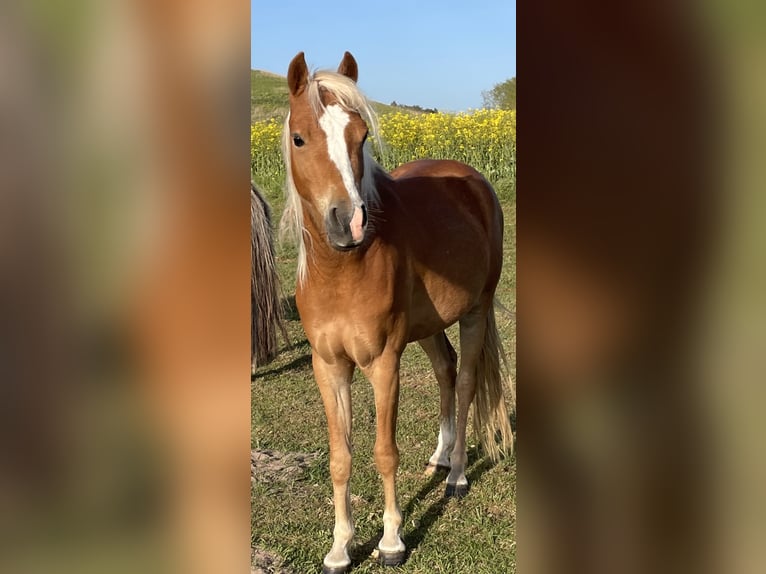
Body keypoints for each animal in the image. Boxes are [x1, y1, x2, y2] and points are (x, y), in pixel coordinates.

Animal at [282, 51, 516, 572]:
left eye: (361, 136)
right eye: (299, 137)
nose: (348, 221)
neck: (342, 272)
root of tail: (473, 180)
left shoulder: (384, 362)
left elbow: (384, 452)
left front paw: (391, 541)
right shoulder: (328, 366)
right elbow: (341, 456)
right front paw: (340, 547)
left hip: (475, 310)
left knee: (465, 382)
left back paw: (458, 474)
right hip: (428, 326)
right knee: (446, 370)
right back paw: (441, 457)